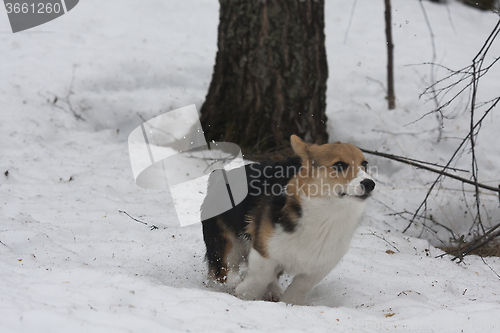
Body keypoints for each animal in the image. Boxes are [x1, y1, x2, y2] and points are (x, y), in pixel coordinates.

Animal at [201, 134, 374, 304]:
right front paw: (245, 293)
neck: (329, 214)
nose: (370, 183)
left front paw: (289, 304)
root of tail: (219, 176)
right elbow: (261, 276)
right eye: (339, 165)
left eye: (364, 164)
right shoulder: (264, 249)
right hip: (225, 244)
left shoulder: (319, 266)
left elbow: (299, 288)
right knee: (224, 269)